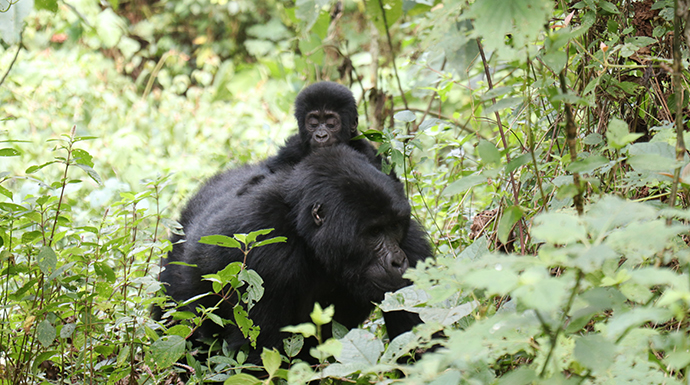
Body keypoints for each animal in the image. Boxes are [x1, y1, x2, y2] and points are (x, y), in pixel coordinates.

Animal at [157, 145, 430, 360]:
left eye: (394, 226)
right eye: (373, 232)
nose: (398, 261)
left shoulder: (413, 245)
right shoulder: (266, 256)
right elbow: (262, 354)